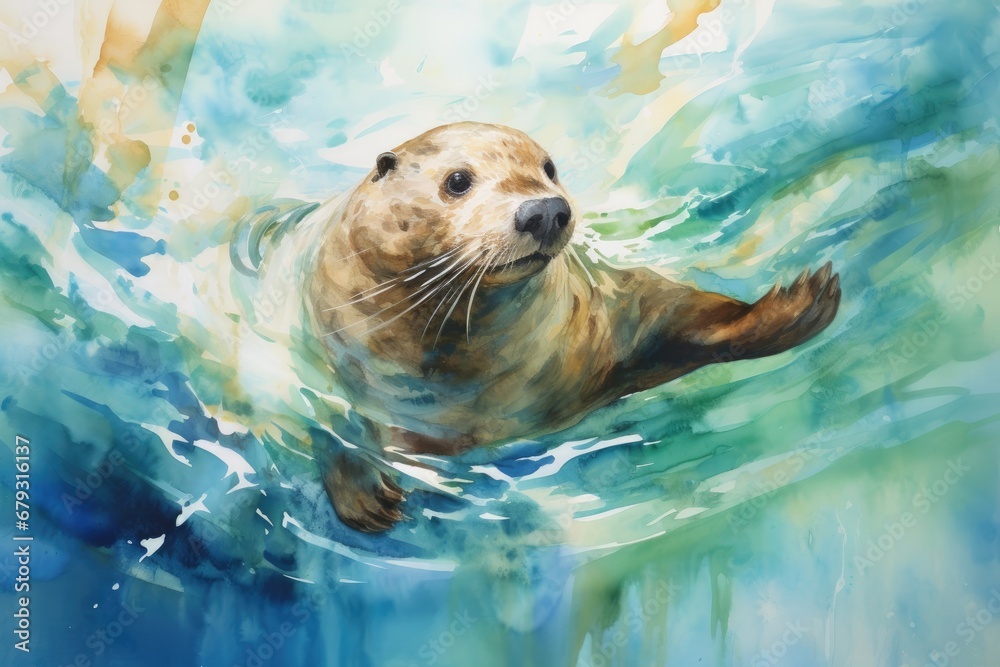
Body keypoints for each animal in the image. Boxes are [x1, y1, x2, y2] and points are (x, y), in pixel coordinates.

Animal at [253, 122, 840, 532]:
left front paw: (798, 307)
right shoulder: (310, 360)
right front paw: (364, 495)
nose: (544, 210)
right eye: (458, 181)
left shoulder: (609, 314)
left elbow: (679, 313)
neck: (464, 398)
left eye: (550, 167)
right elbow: (324, 422)